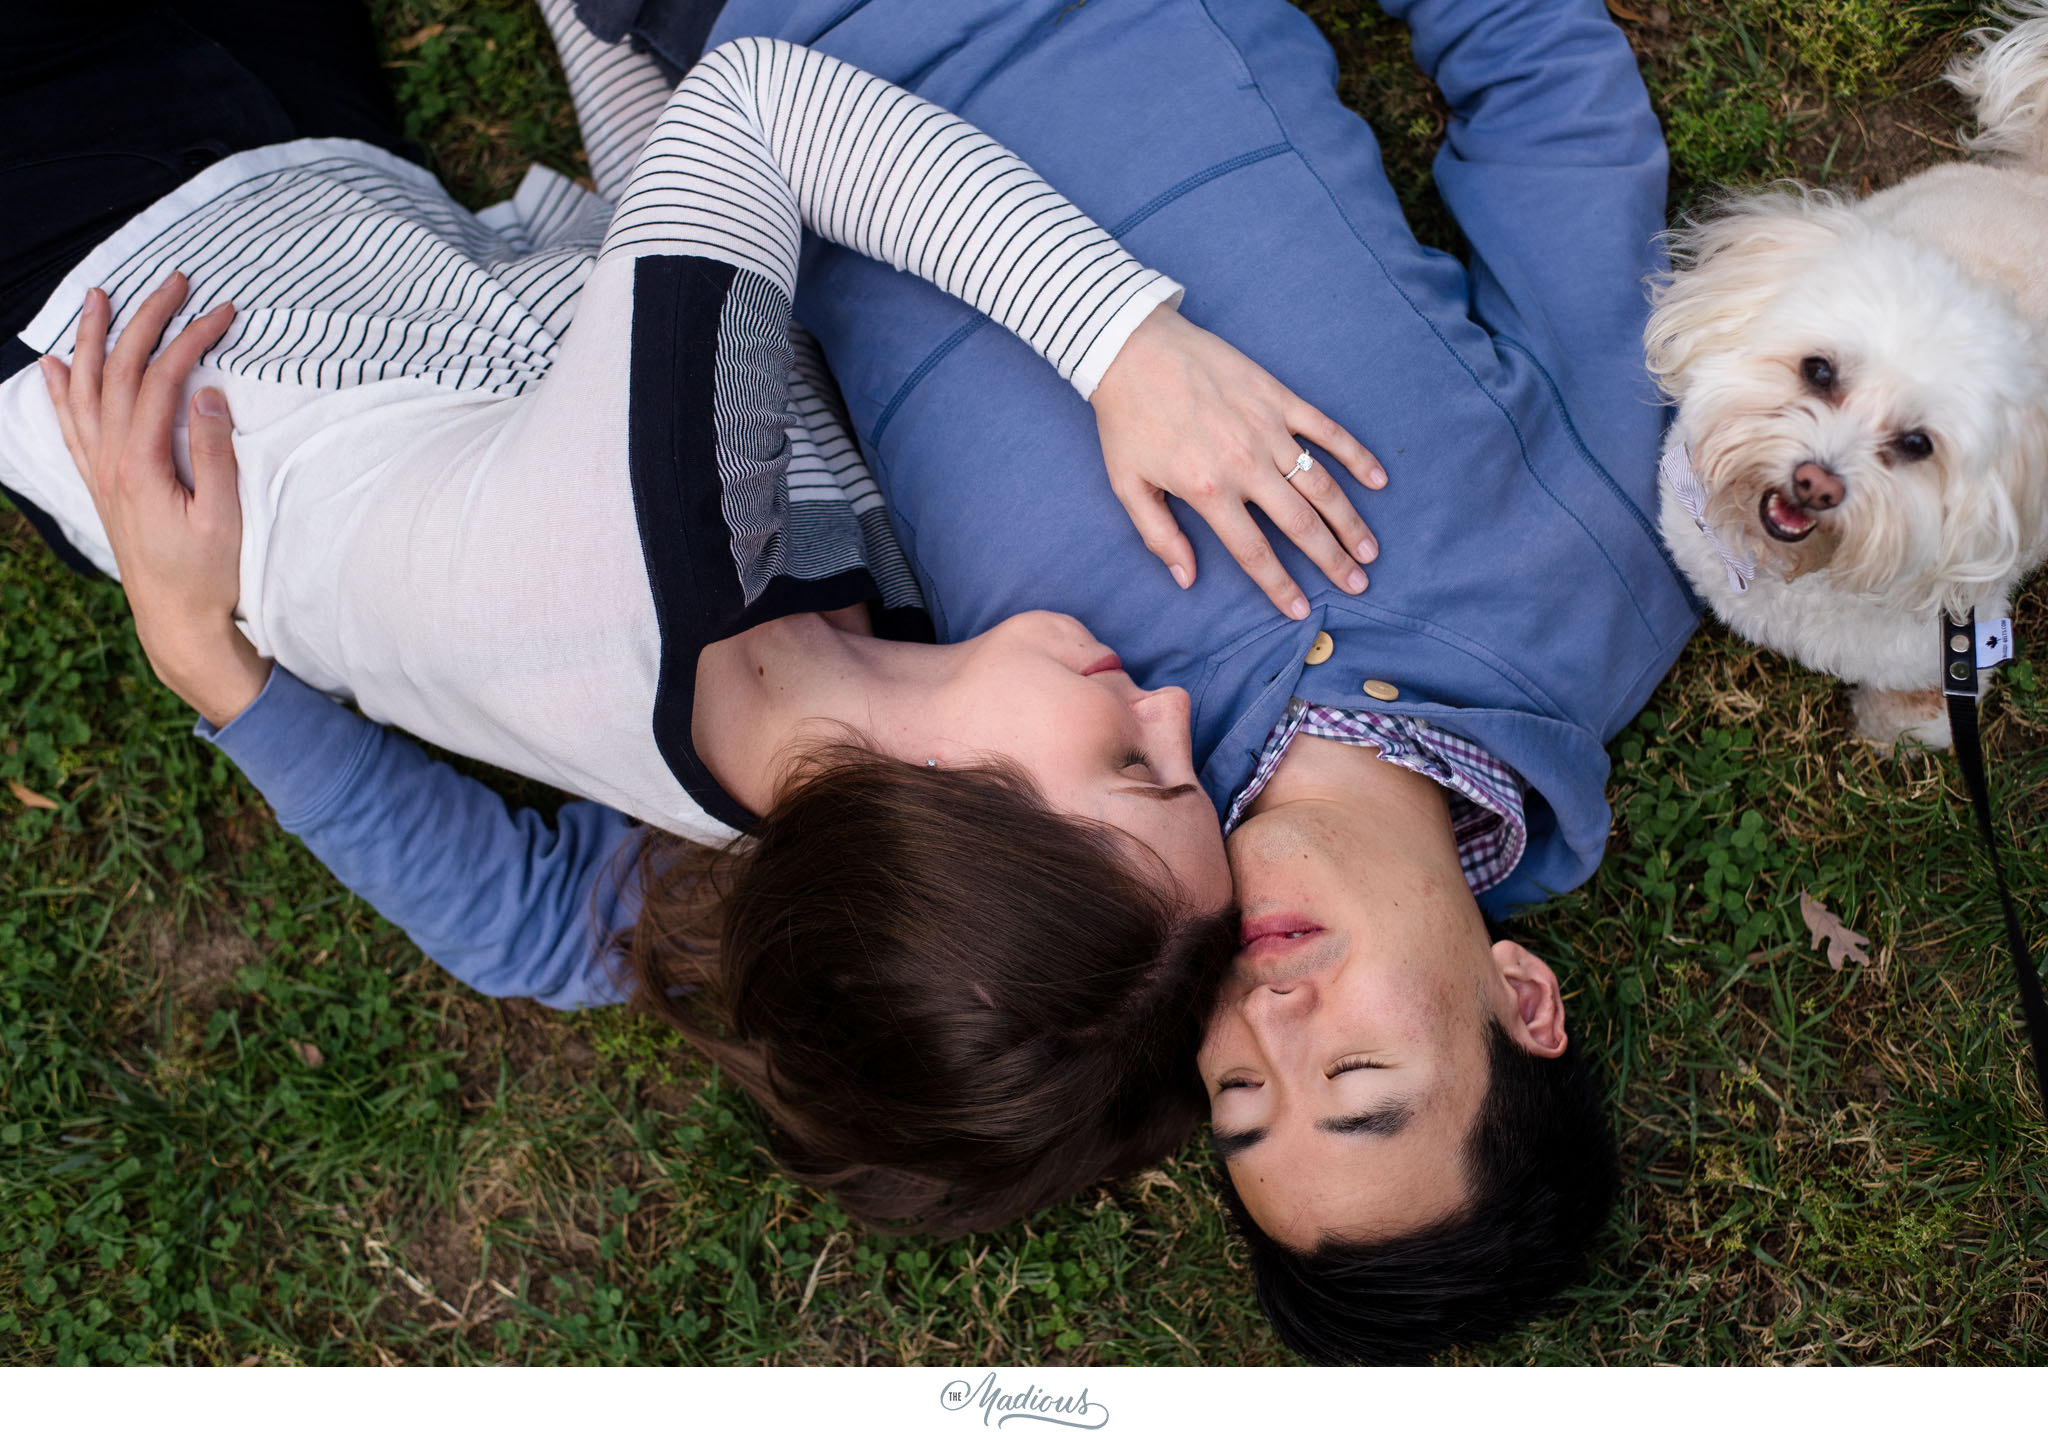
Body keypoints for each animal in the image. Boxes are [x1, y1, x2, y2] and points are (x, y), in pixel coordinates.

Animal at [1638, 5, 2048, 749]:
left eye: (1918, 445)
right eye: (1819, 370)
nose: (1815, 483)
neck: (1791, 576)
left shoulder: (1948, 654)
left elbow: (1916, 717)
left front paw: (1881, 732)